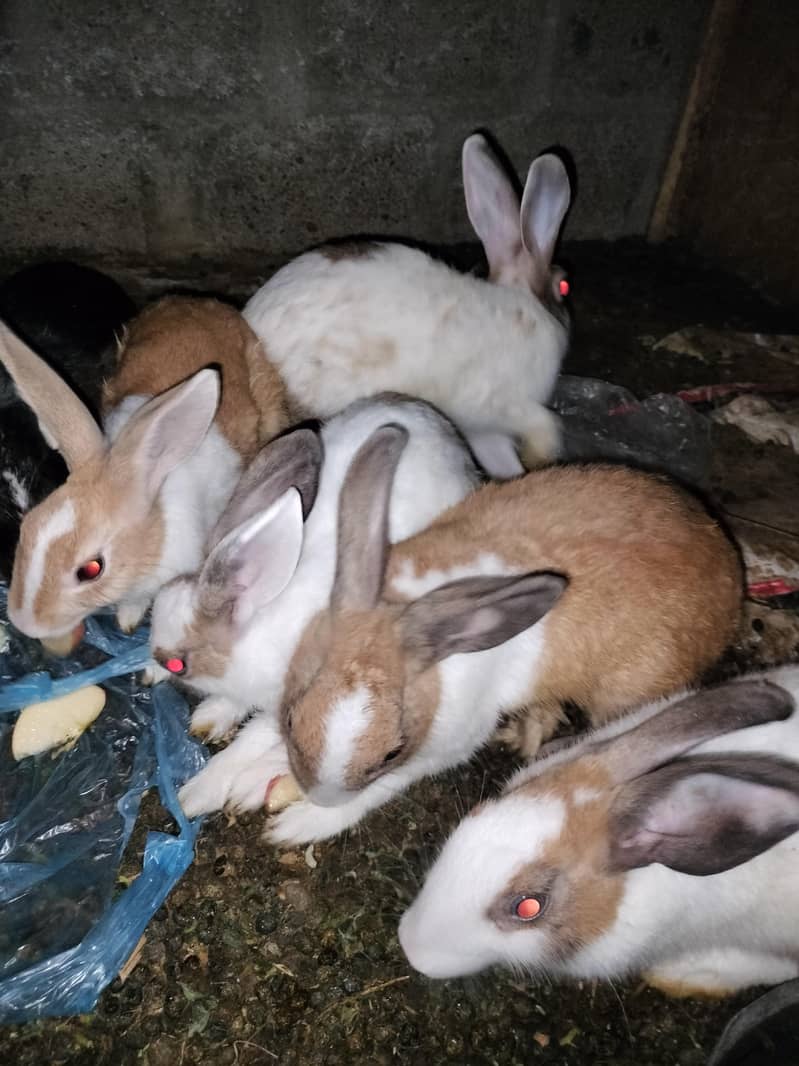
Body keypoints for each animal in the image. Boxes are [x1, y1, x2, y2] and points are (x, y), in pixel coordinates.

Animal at [147, 394, 483, 820]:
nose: (154, 660)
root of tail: (436, 420)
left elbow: (251, 739)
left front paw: (199, 793)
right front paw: (210, 717)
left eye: (178, 664)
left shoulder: (293, 702)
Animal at [277, 427, 743, 845]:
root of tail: (731, 579)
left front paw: (297, 825)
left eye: (392, 752)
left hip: (626, 693)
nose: (318, 796)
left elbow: (384, 787)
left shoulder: (446, 747)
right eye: (291, 717)